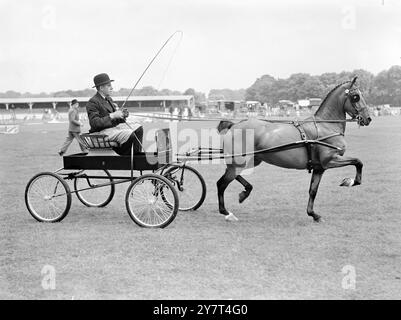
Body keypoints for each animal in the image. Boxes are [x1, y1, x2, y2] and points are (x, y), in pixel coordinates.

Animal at [217, 77, 370, 222]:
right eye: (356, 96)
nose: (367, 118)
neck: (325, 126)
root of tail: (234, 125)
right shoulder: (330, 160)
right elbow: (358, 162)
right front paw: (350, 182)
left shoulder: (319, 168)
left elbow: (313, 191)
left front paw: (314, 214)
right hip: (240, 162)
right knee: (222, 183)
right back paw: (227, 212)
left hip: (251, 160)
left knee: (231, 175)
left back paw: (245, 192)